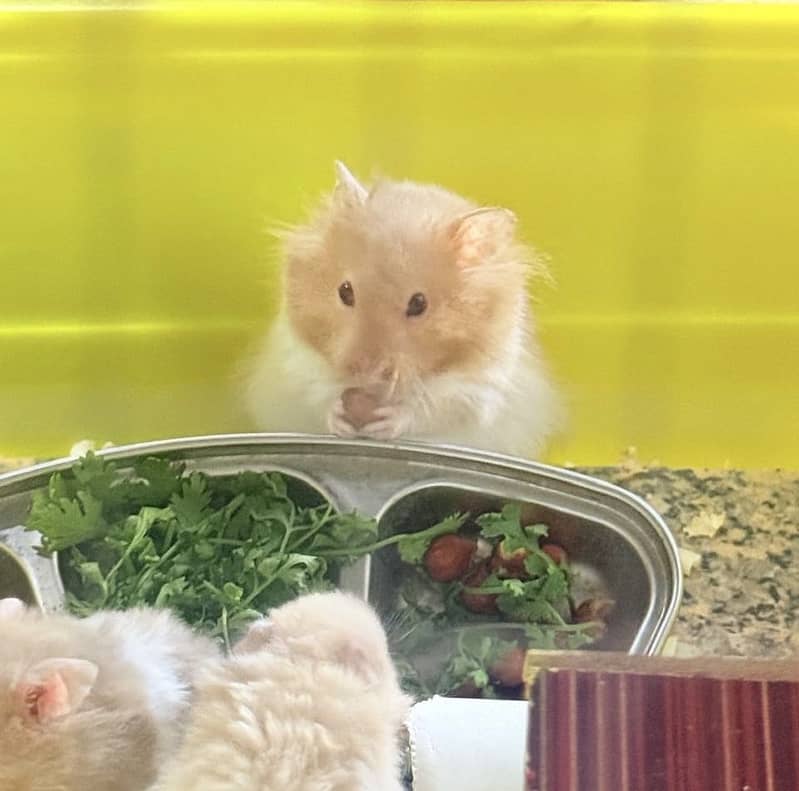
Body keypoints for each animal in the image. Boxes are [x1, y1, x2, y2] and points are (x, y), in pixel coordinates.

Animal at [243, 161, 564, 458]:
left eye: (419, 304)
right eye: (344, 291)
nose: (363, 370)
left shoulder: (479, 389)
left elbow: (434, 408)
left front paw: (384, 421)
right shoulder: (295, 359)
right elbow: (315, 390)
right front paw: (340, 420)